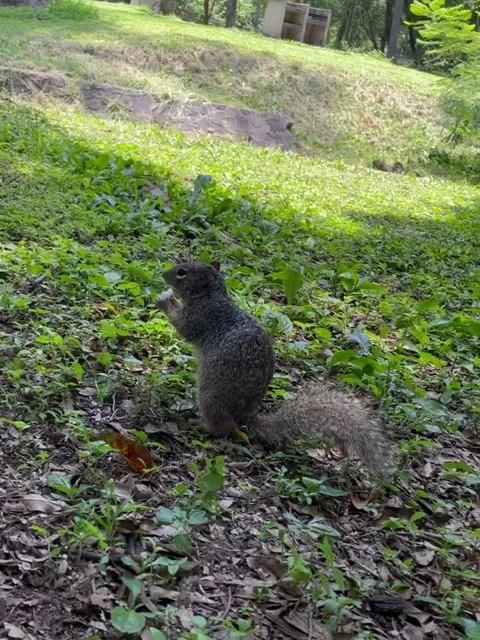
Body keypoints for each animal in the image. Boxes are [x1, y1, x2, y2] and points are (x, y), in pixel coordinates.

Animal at [156, 261, 391, 476]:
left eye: (182, 272)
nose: (163, 274)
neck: (211, 295)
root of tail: (245, 417)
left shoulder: (203, 316)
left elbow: (184, 327)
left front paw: (165, 301)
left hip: (210, 396)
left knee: (222, 427)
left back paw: (201, 425)